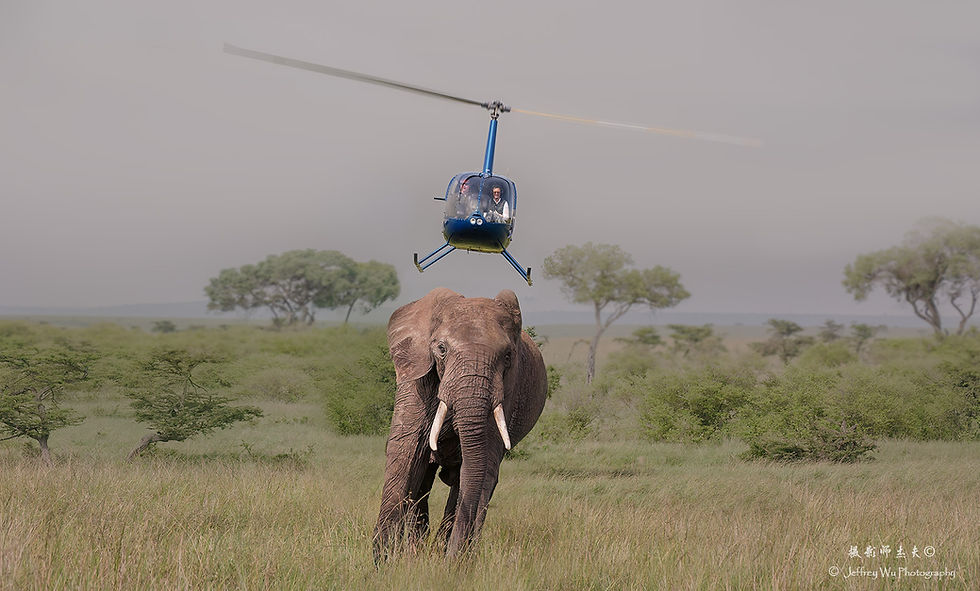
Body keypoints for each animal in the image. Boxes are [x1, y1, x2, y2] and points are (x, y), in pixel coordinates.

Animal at [373, 287, 548, 560]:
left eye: (508, 355)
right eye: (442, 349)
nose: (454, 557)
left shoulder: (507, 389)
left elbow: (482, 464)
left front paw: (455, 560)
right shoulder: (417, 378)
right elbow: (405, 450)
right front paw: (384, 560)